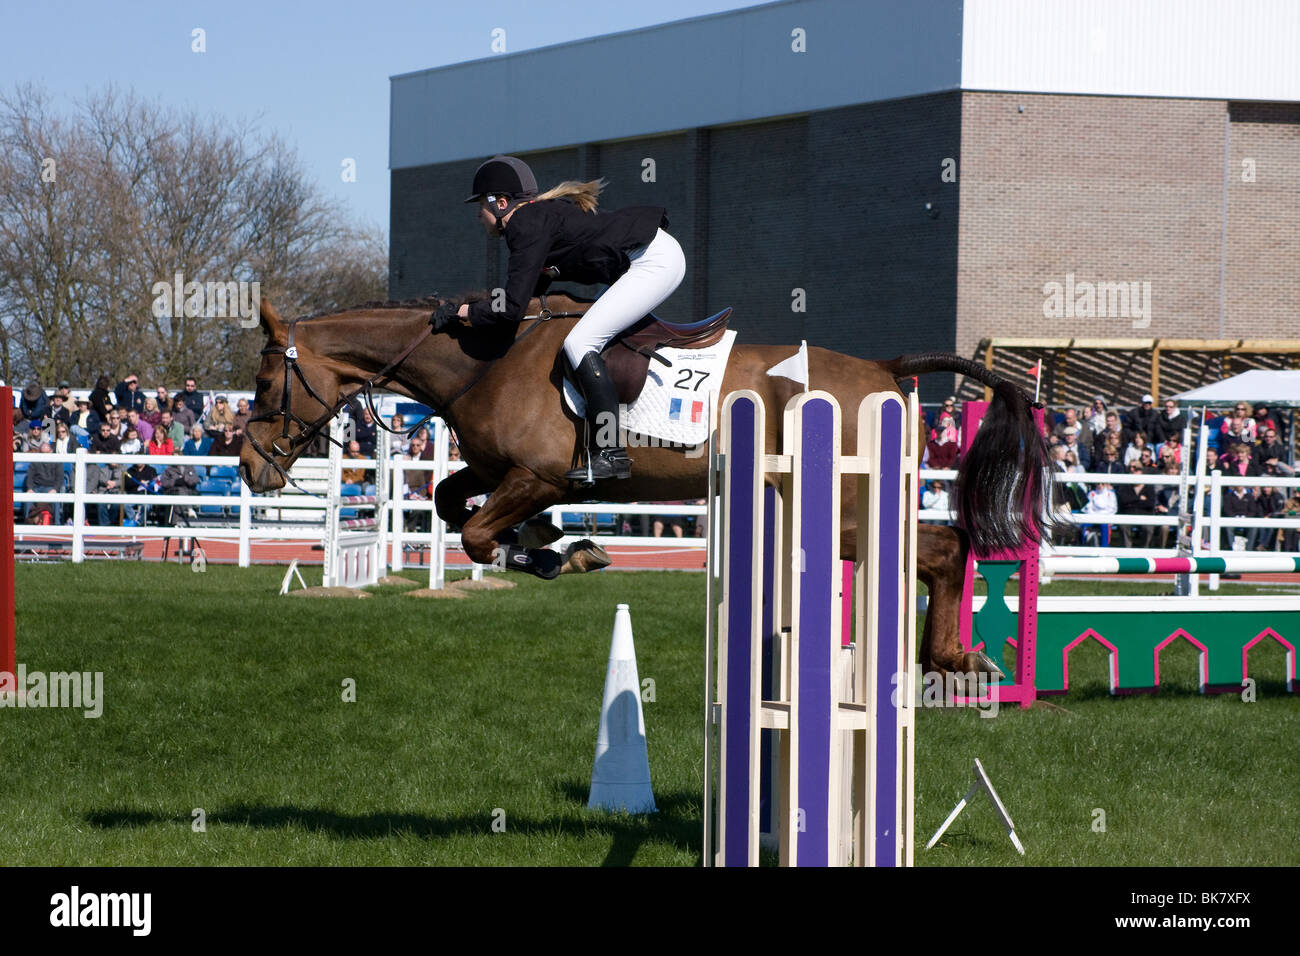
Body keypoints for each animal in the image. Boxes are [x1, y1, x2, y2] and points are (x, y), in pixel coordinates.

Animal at [236, 295, 1045, 676]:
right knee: (944, 547)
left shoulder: (538, 475)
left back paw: (955, 659)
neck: (479, 361)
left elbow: (475, 531)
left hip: (845, 510)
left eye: (265, 383)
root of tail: (886, 367)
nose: (248, 466)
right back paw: (950, 659)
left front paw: (561, 553)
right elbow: (451, 506)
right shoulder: (499, 473)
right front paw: (554, 545)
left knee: (942, 549)